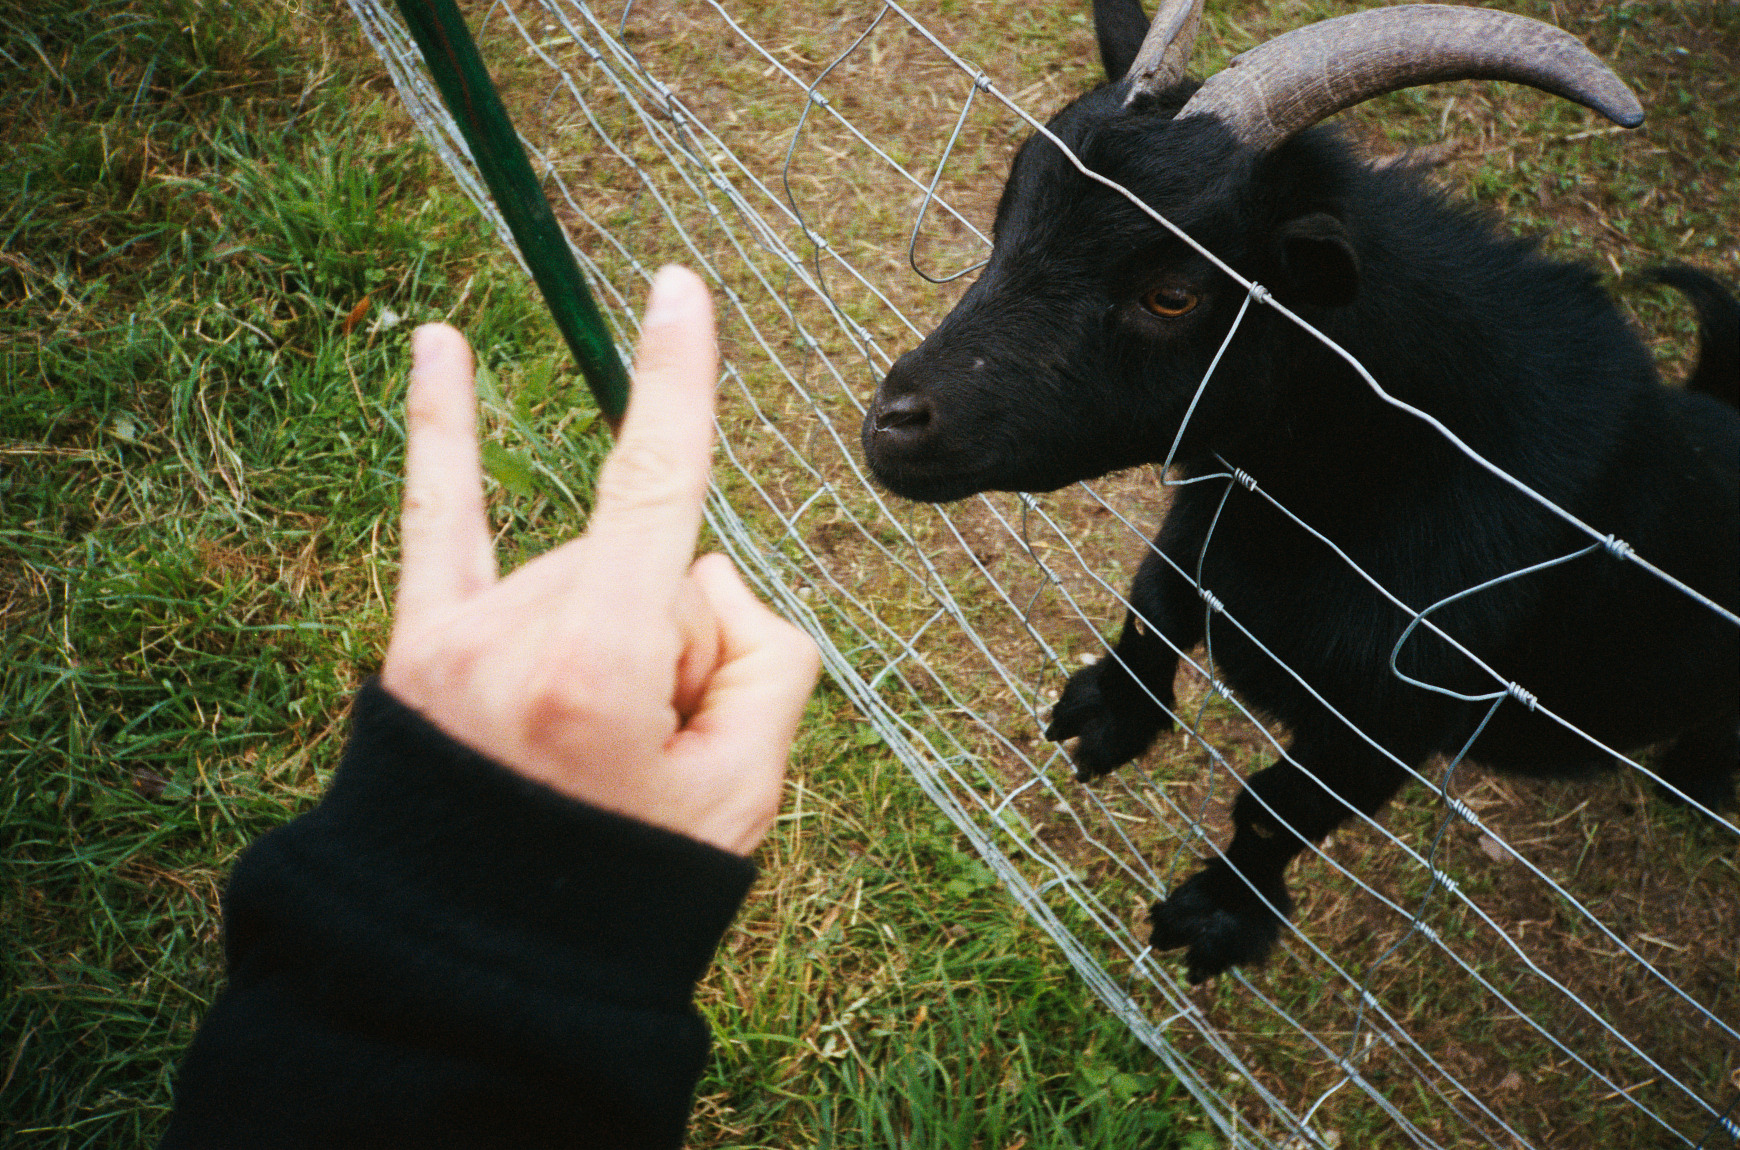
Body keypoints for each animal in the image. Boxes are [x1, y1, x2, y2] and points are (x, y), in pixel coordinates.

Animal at [860, 0, 1740, 984]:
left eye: (1174, 294)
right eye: (1010, 210)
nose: (895, 424)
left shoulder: (1401, 710)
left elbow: (1278, 808)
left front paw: (1215, 919)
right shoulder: (1215, 516)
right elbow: (1154, 603)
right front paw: (1104, 719)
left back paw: (1699, 783)